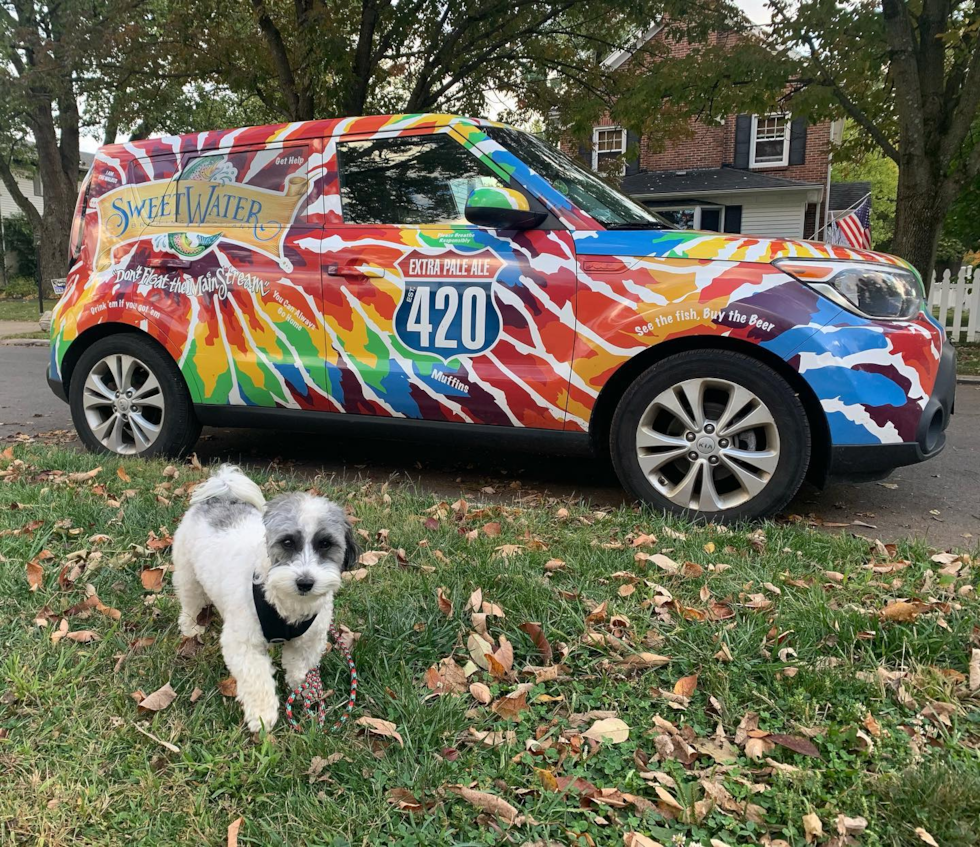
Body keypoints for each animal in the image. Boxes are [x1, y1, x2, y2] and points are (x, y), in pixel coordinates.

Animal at [171, 468, 356, 732]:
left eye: (325, 544)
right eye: (287, 542)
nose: (305, 582)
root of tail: (220, 494)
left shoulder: (308, 640)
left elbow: (300, 665)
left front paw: (304, 690)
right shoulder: (243, 643)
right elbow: (256, 678)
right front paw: (262, 715)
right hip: (187, 572)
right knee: (190, 599)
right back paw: (190, 626)